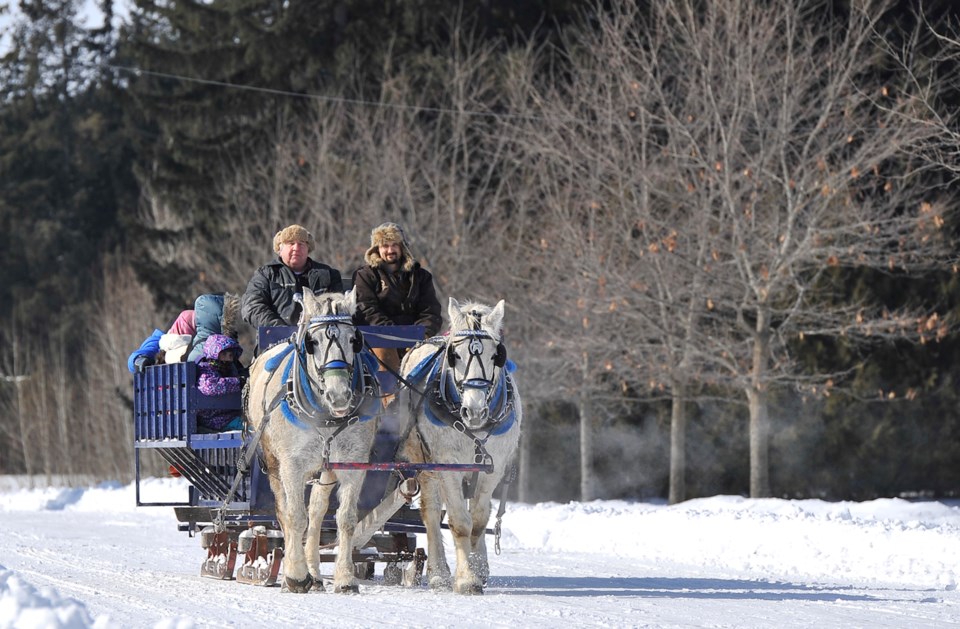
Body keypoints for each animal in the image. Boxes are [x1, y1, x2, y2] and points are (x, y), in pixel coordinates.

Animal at [246, 290, 380, 592]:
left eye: (354, 340)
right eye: (312, 342)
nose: (339, 396)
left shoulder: (353, 463)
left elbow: (346, 519)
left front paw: (345, 578)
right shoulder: (292, 465)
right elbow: (295, 517)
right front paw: (296, 576)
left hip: (325, 467)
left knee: (317, 512)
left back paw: (316, 573)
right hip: (272, 462)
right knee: (284, 511)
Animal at [396, 296, 520, 592]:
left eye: (496, 355)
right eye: (456, 355)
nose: (473, 411)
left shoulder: (492, 468)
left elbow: (479, 521)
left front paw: (476, 570)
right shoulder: (447, 466)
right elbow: (459, 522)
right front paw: (465, 579)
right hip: (425, 464)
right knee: (431, 514)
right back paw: (439, 573)